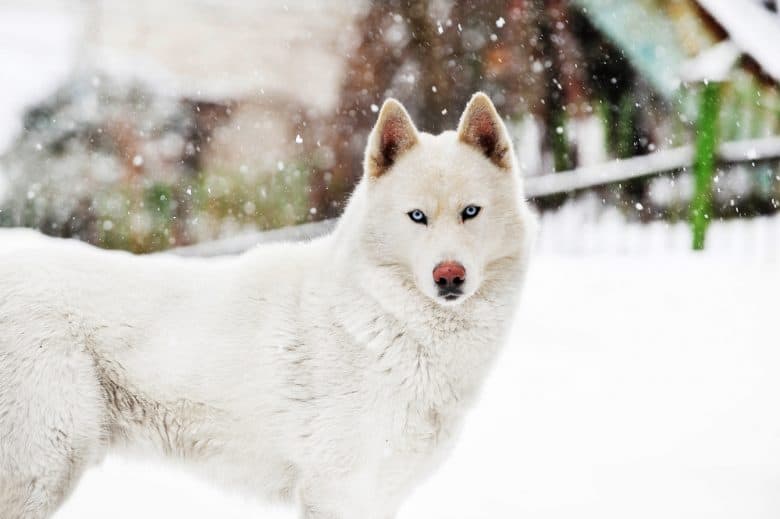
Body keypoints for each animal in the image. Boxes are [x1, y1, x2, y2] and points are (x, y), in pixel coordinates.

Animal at [0, 94, 536, 519]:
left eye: (471, 212)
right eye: (417, 217)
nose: (449, 277)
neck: (383, 320)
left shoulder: (379, 493)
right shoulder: (336, 490)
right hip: (44, 468)